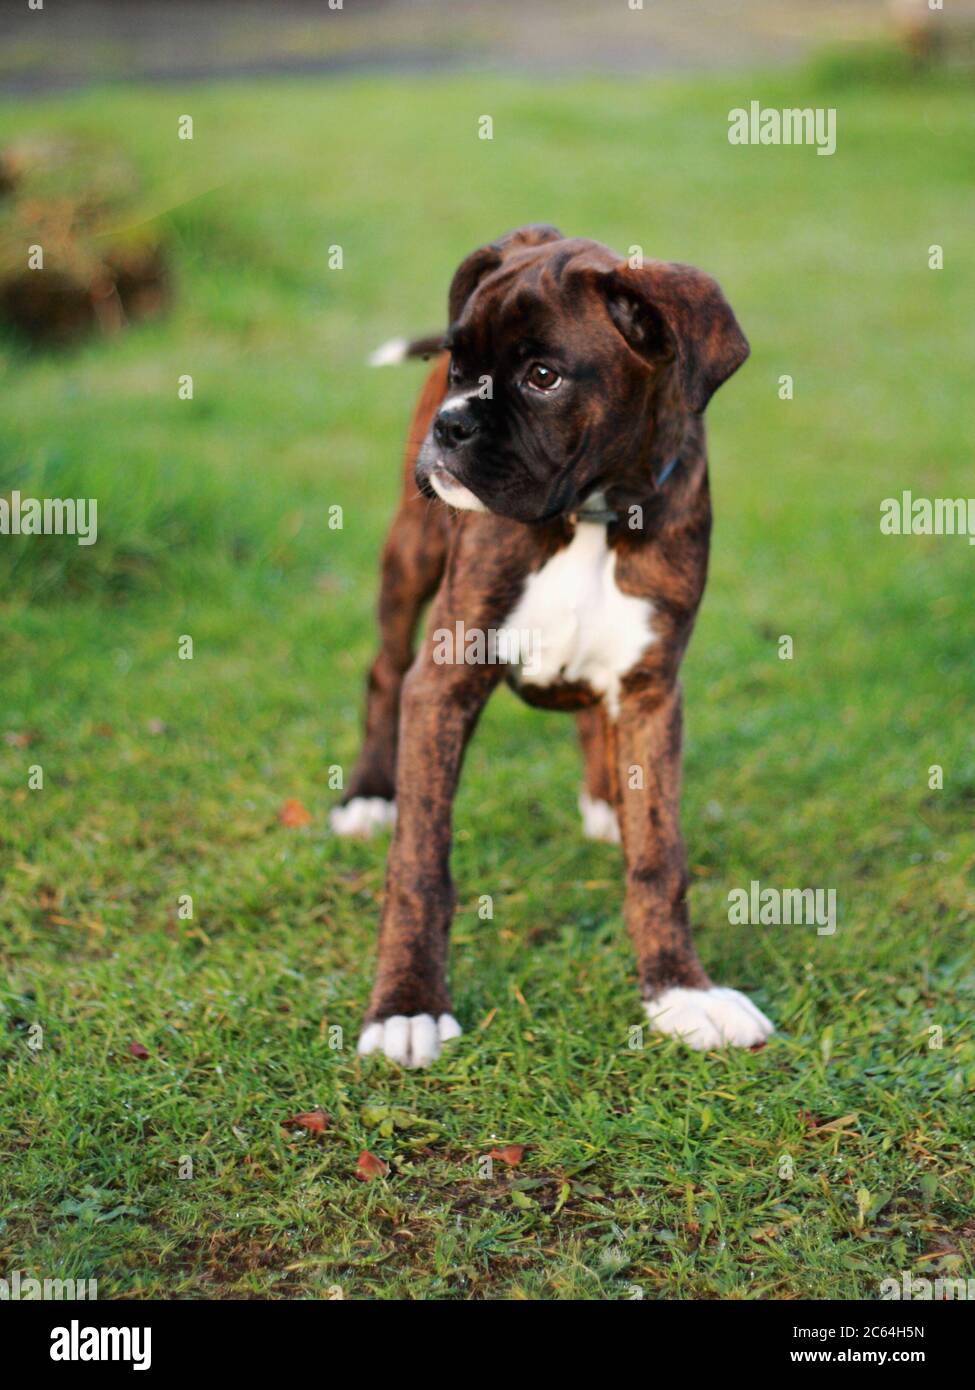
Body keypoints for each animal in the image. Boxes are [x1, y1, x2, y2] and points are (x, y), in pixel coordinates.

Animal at [331, 227, 773, 1067]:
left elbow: (659, 857)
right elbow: (420, 862)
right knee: (379, 670)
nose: (451, 425)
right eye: (460, 363)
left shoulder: (651, 688)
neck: (589, 513)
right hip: (409, 555)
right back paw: (368, 793)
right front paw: (406, 1006)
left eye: (543, 377)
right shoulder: (445, 679)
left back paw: (606, 802)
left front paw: (680, 992)